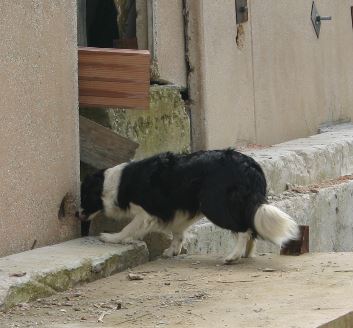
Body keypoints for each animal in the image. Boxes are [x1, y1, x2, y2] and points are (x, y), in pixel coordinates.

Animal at [77, 150, 296, 262]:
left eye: (84, 197)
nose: (76, 214)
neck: (114, 184)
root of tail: (249, 165)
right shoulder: (179, 211)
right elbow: (178, 233)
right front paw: (172, 251)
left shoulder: (147, 213)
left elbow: (128, 228)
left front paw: (111, 238)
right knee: (250, 227)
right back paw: (246, 253)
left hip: (215, 205)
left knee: (243, 229)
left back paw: (233, 256)